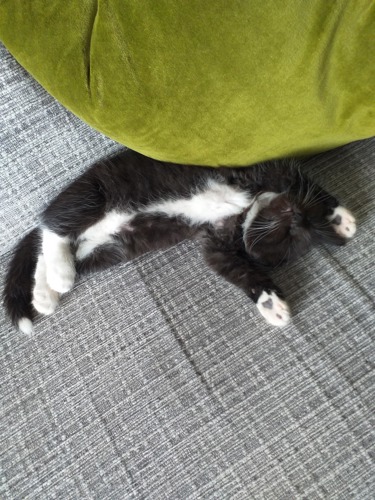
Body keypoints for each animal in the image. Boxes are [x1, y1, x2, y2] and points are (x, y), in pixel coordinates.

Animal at [2, 149, 356, 336]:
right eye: (289, 233)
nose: (296, 215)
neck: (247, 209)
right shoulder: (264, 168)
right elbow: (302, 180)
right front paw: (339, 217)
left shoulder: (216, 241)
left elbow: (234, 267)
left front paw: (269, 301)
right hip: (94, 190)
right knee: (54, 225)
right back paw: (60, 277)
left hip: (108, 249)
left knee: (52, 248)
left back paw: (45, 293)